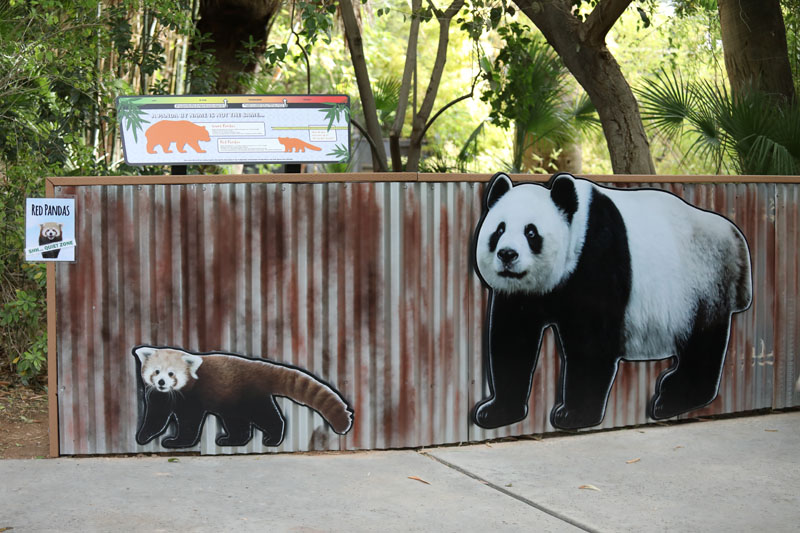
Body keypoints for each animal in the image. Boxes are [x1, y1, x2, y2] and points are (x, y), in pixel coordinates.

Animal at [472, 172, 752, 430]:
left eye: (531, 232)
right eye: (499, 229)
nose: (507, 254)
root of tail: (737, 239)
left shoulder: (597, 255)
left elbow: (591, 343)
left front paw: (574, 414)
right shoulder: (521, 294)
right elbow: (513, 340)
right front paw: (496, 412)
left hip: (703, 283)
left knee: (702, 343)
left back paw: (672, 400)